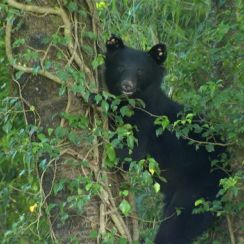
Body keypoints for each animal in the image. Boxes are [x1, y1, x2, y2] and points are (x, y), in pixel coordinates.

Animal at [104, 34, 226, 244]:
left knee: (177, 225)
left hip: (201, 188)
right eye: (120, 67)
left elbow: (129, 153)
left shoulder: (147, 121)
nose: (127, 86)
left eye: (140, 71)